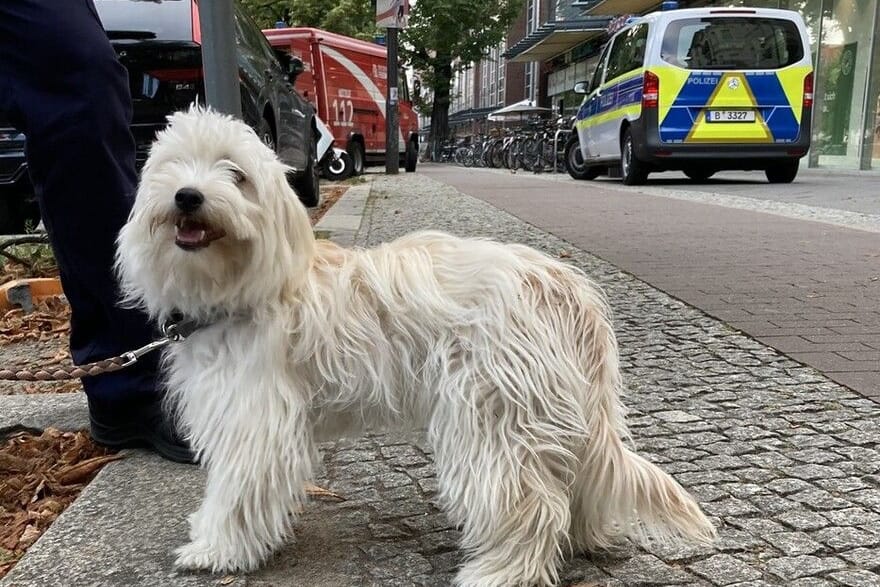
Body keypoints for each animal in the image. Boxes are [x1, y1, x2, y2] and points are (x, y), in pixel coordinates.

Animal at [115, 108, 716, 584]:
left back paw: (500, 572)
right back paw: (584, 538)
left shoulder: (255, 424)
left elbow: (236, 492)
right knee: (573, 484)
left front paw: (215, 549)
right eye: (172, 167)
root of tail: (563, 284)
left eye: (236, 175)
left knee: (532, 503)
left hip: (491, 416)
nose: (188, 196)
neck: (246, 286)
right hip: (551, 412)